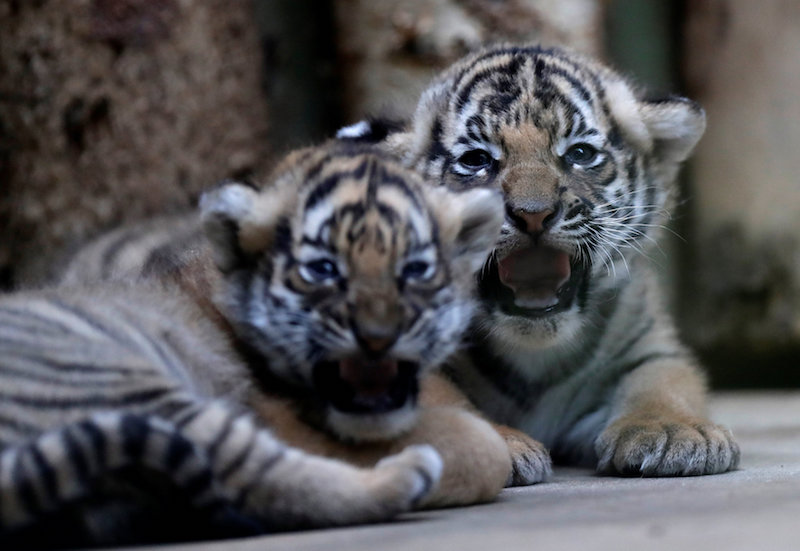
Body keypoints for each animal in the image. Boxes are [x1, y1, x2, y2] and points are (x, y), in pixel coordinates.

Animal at [0, 141, 509, 547]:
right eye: (323, 270)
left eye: (416, 269)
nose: (378, 336)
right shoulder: (277, 419)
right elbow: (480, 446)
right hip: (113, 378)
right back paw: (408, 474)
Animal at [338, 43, 741, 482]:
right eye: (476, 159)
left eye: (579, 153)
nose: (532, 214)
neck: (534, 353)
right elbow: (438, 395)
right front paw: (498, 444)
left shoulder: (646, 344)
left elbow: (661, 380)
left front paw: (672, 431)